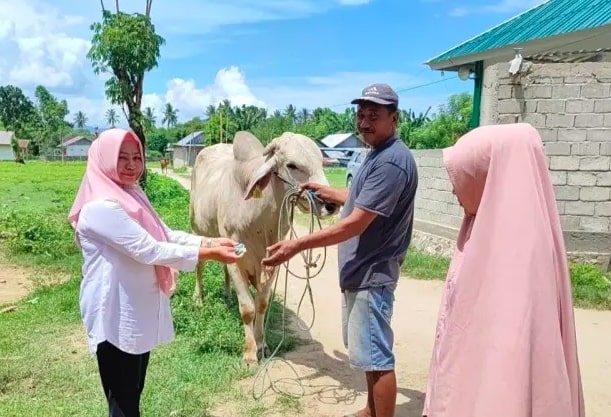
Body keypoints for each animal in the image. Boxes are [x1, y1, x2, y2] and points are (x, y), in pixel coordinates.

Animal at [190, 130, 340, 364]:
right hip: (198, 229)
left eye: (321, 162)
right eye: (292, 165)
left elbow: (261, 303)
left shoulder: (273, 260)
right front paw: (250, 353)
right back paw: (198, 299)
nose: (331, 204)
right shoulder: (236, 255)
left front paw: (262, 345)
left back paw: (227, 294)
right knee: (199, 266)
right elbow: (247, 308)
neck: (259, 217)